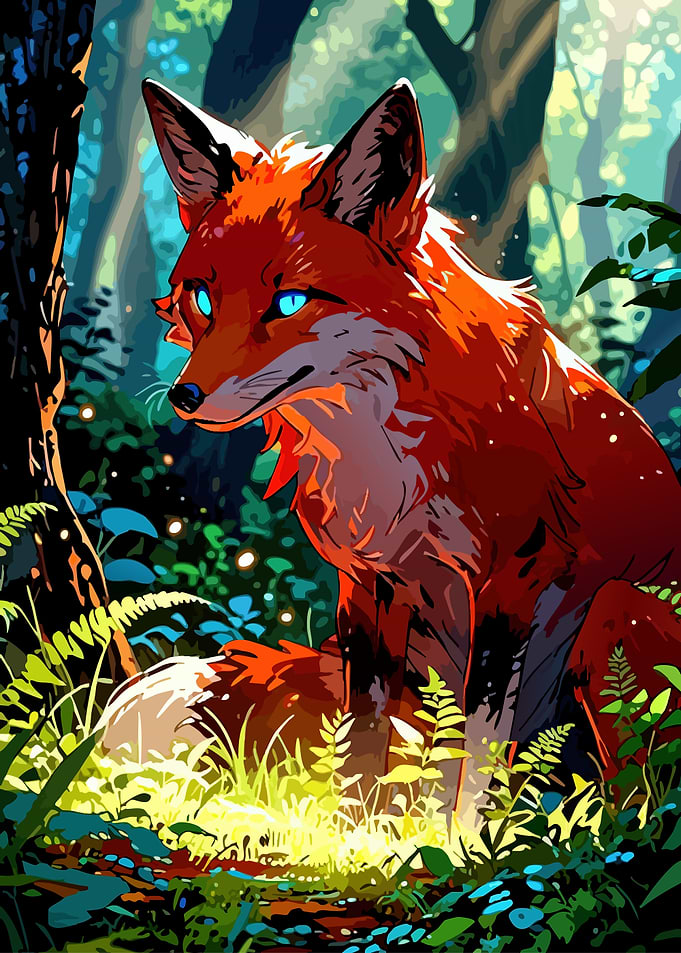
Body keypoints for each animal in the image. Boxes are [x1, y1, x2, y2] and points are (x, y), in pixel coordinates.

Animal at [104, 78, 681, 801]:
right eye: (202, 300)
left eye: (288, 303)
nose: (185, 397)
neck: (386, 458)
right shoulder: (367, 588)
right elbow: (358, 751)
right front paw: (356, 832)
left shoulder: (509, 589)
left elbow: (476, 771)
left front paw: (454, 832)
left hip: (609, 611)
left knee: (630, 789)